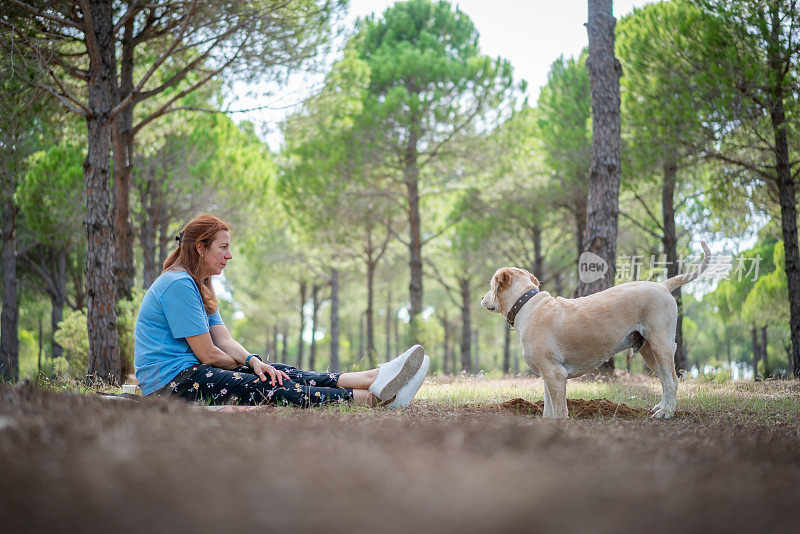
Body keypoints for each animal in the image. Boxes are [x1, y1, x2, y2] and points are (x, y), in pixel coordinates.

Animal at [484, 244, 708, 422]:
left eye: (491, 284)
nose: (482, 298)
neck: (527, 306)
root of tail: (662, 285)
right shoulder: (547, 375)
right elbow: (548, 408)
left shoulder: (555, 374)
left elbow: (559, 411)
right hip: (648, 350)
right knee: (664, 379)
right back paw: (662, 407)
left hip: (661, 343)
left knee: (671, 380)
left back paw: (666, 413)